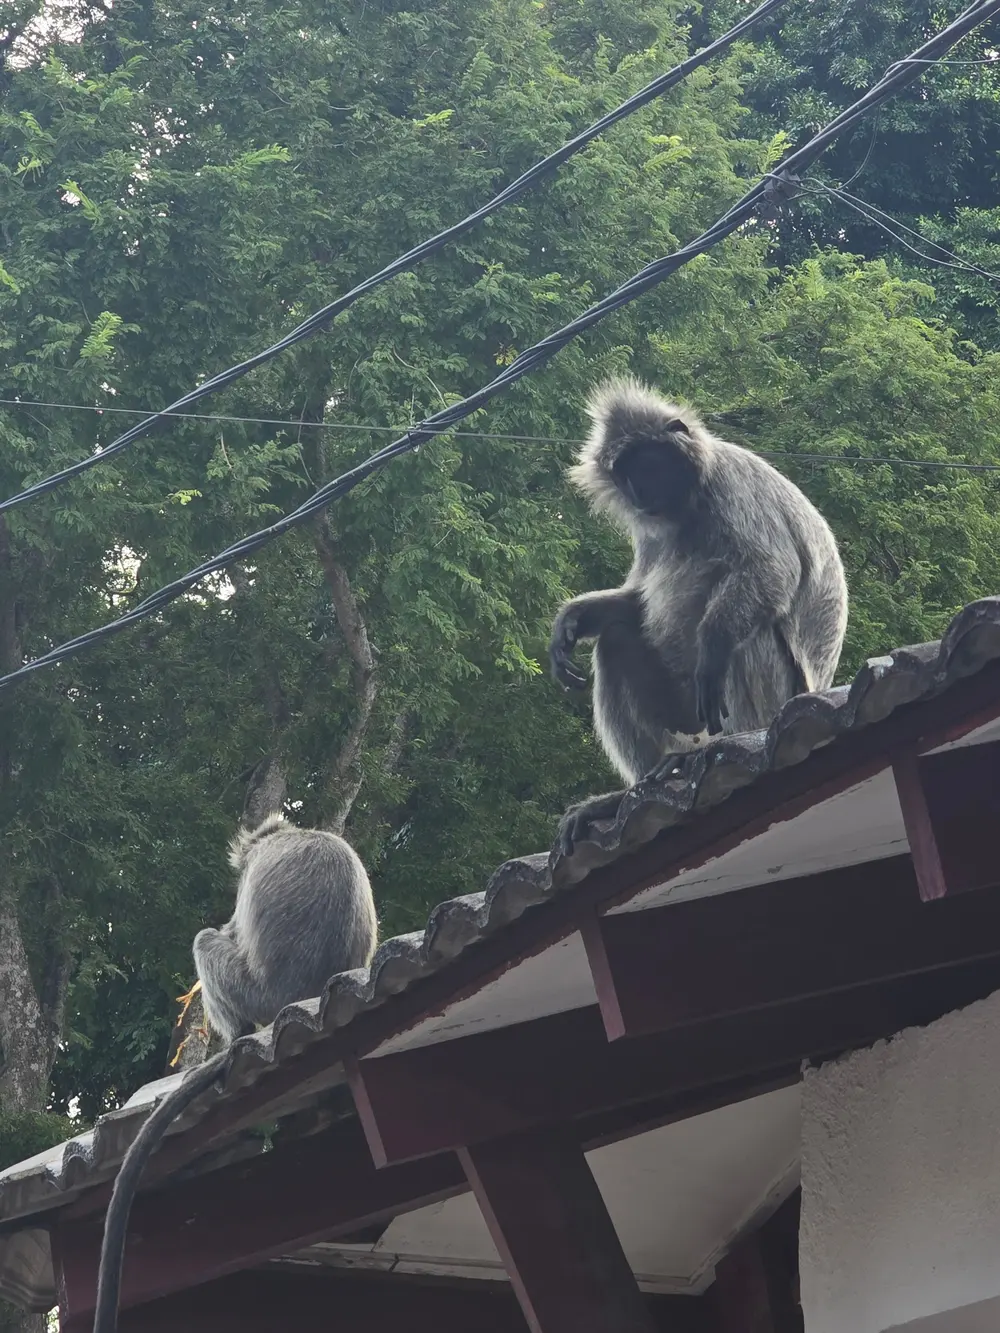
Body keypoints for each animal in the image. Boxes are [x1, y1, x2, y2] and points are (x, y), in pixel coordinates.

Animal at [550, 376, 848, 855]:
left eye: (647, 464)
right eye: (624, 474)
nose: (638, 493)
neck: (685, 505)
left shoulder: (731, 484)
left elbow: (773, 570)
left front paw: (712, 647)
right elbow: (636, 601)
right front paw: (574, 618)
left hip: (772, 701)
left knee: (748, 635)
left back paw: (729, 739)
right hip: (685, 716)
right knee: (617, 639)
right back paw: (630, 794)